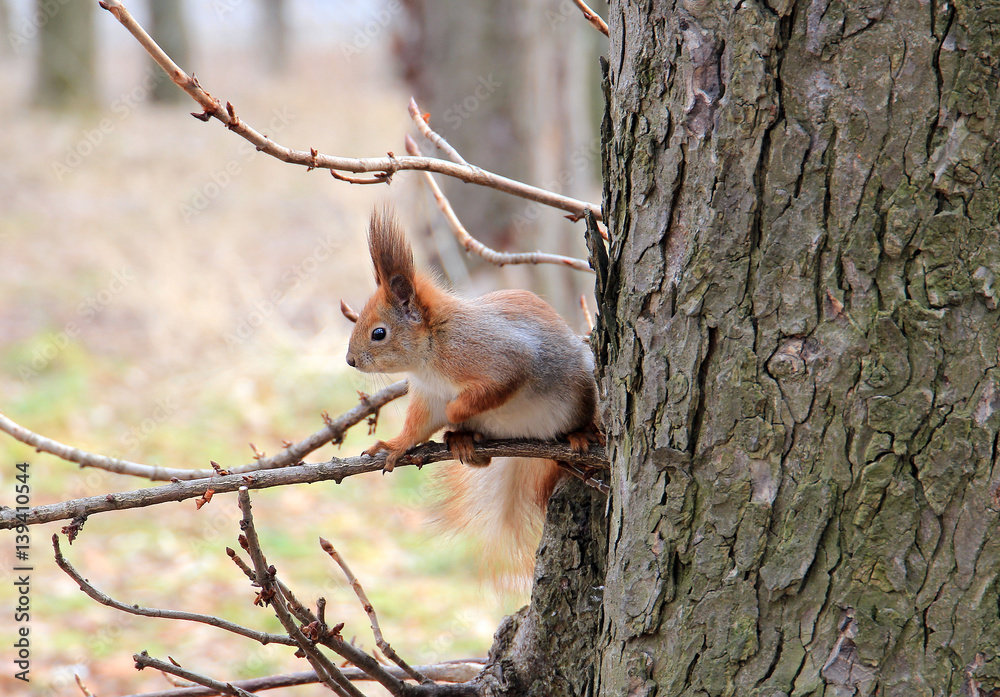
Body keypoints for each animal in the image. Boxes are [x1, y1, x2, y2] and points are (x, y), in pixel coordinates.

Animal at [346, 207, 600, 580]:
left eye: (379, 333)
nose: (350, 360)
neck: (431, 353)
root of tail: (526, 437)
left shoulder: (500, 360)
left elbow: (492, 389)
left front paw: (456, 412)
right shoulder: (429, 396)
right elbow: (418, 427)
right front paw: (395, 445)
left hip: (580, 393)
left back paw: (580, 434)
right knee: (485, 459)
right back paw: (465, 442)